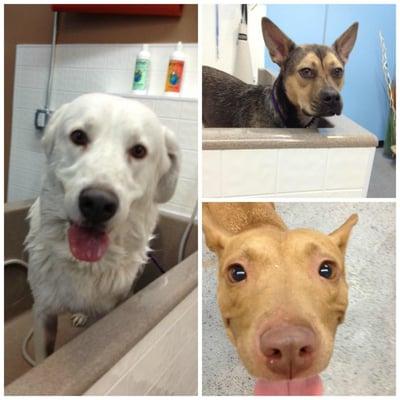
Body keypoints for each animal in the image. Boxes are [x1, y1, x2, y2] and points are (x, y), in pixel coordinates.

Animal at [24, 94, 180, 362]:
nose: (98, 203)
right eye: (78, 136)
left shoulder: (114, 307)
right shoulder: (43, 312)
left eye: (139, 151)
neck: (85, 264)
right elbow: (43, 355)